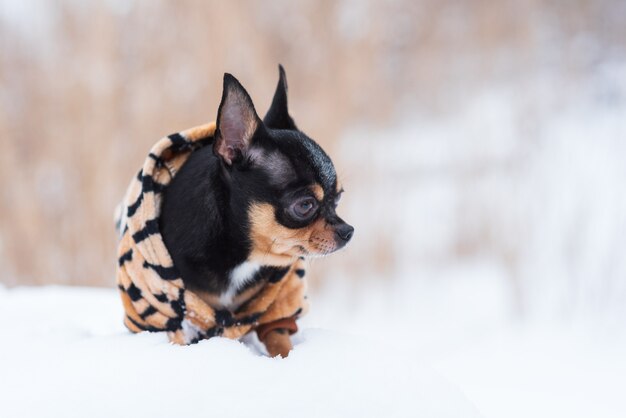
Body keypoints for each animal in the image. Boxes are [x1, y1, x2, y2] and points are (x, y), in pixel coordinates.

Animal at [158, 66, 352, 356]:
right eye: (304, 206)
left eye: (338, 198)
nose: (348, 231)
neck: (242, 255)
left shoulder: (276, 305)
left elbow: (279, 336)